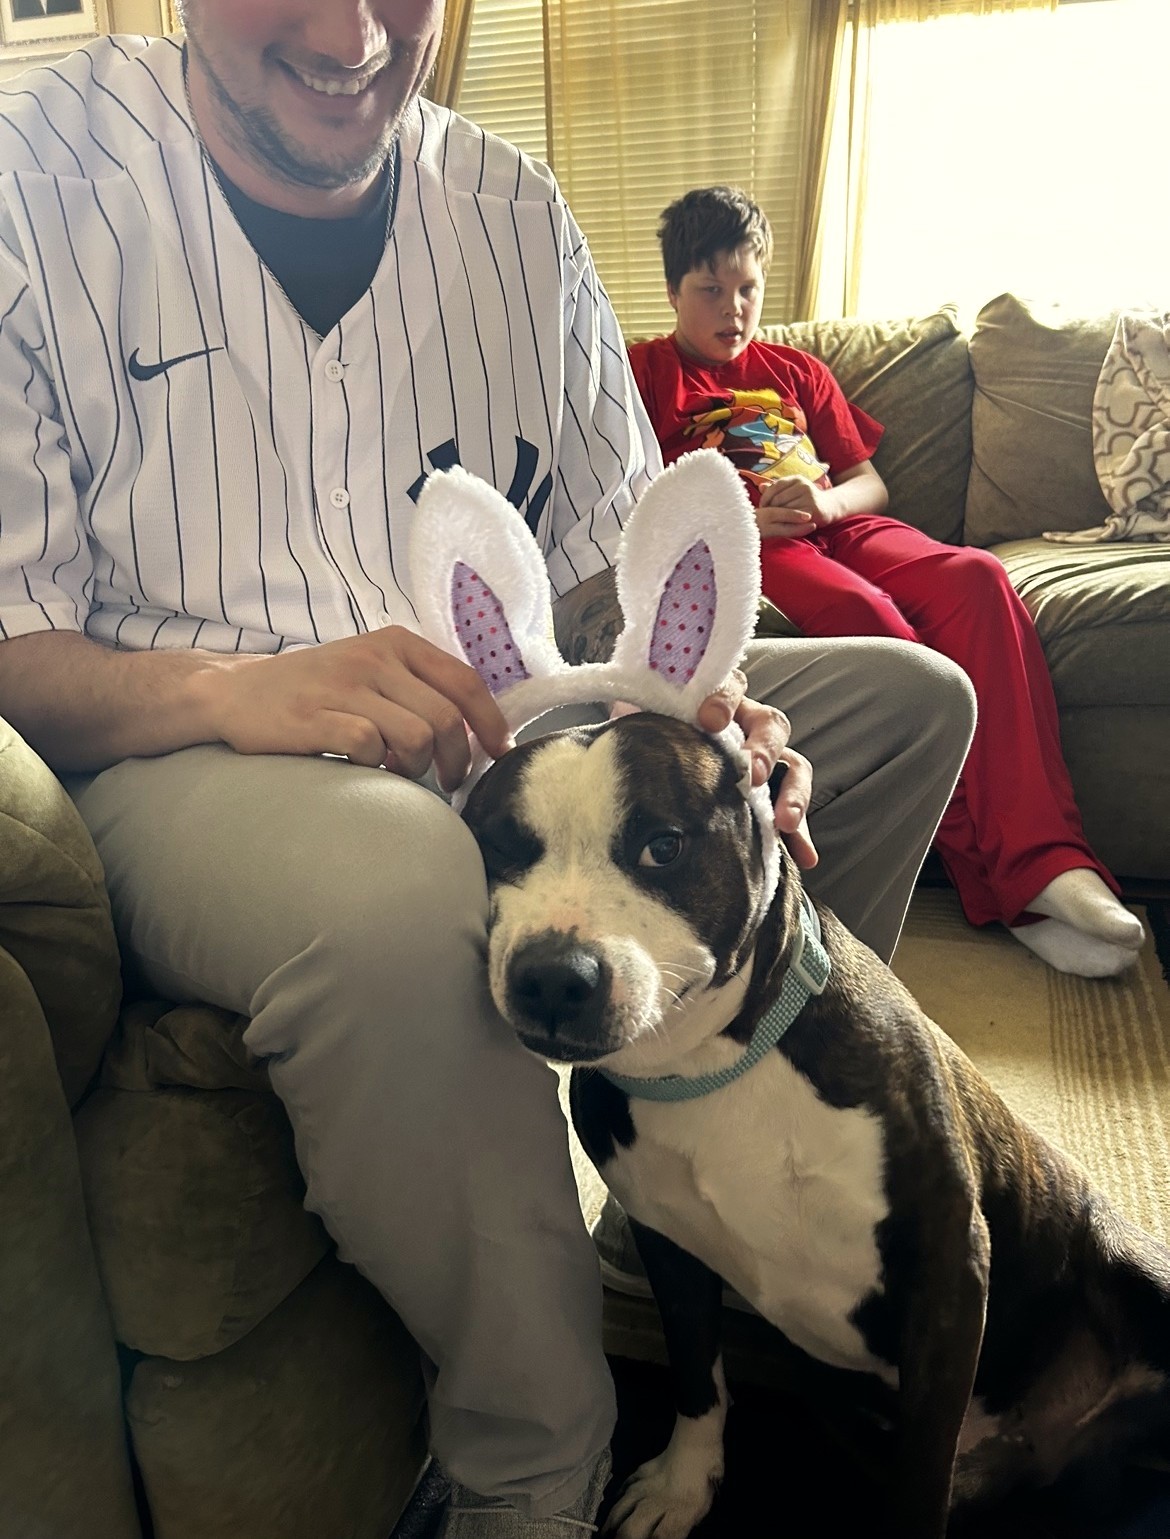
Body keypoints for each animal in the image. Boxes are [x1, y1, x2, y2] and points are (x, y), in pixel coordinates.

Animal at [464, 711, 1170, 1539]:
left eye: (662, 845)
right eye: (498, 847)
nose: (551, 975)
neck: (712, 1067)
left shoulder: (947, 1270)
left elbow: (919, 1481)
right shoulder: (670, 1247)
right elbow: (697, 1374)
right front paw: (682, 1485)